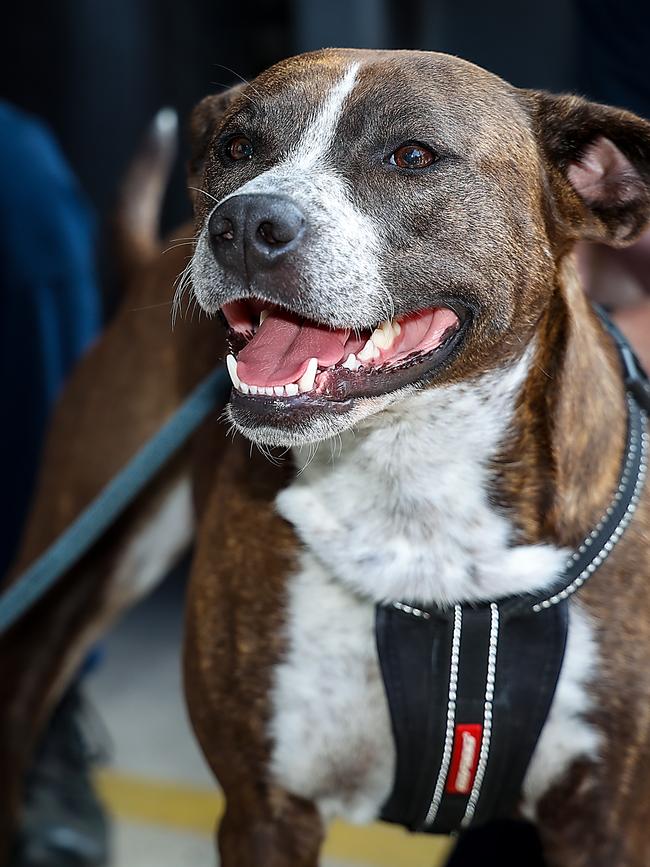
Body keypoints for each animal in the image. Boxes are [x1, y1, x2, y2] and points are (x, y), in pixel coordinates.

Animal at [3, 50, 648, 867]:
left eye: (413, 156)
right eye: (238, 147)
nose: (244, 224)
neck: (412, 481)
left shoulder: (605, 821)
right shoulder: (265, 811)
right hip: (72, 568)